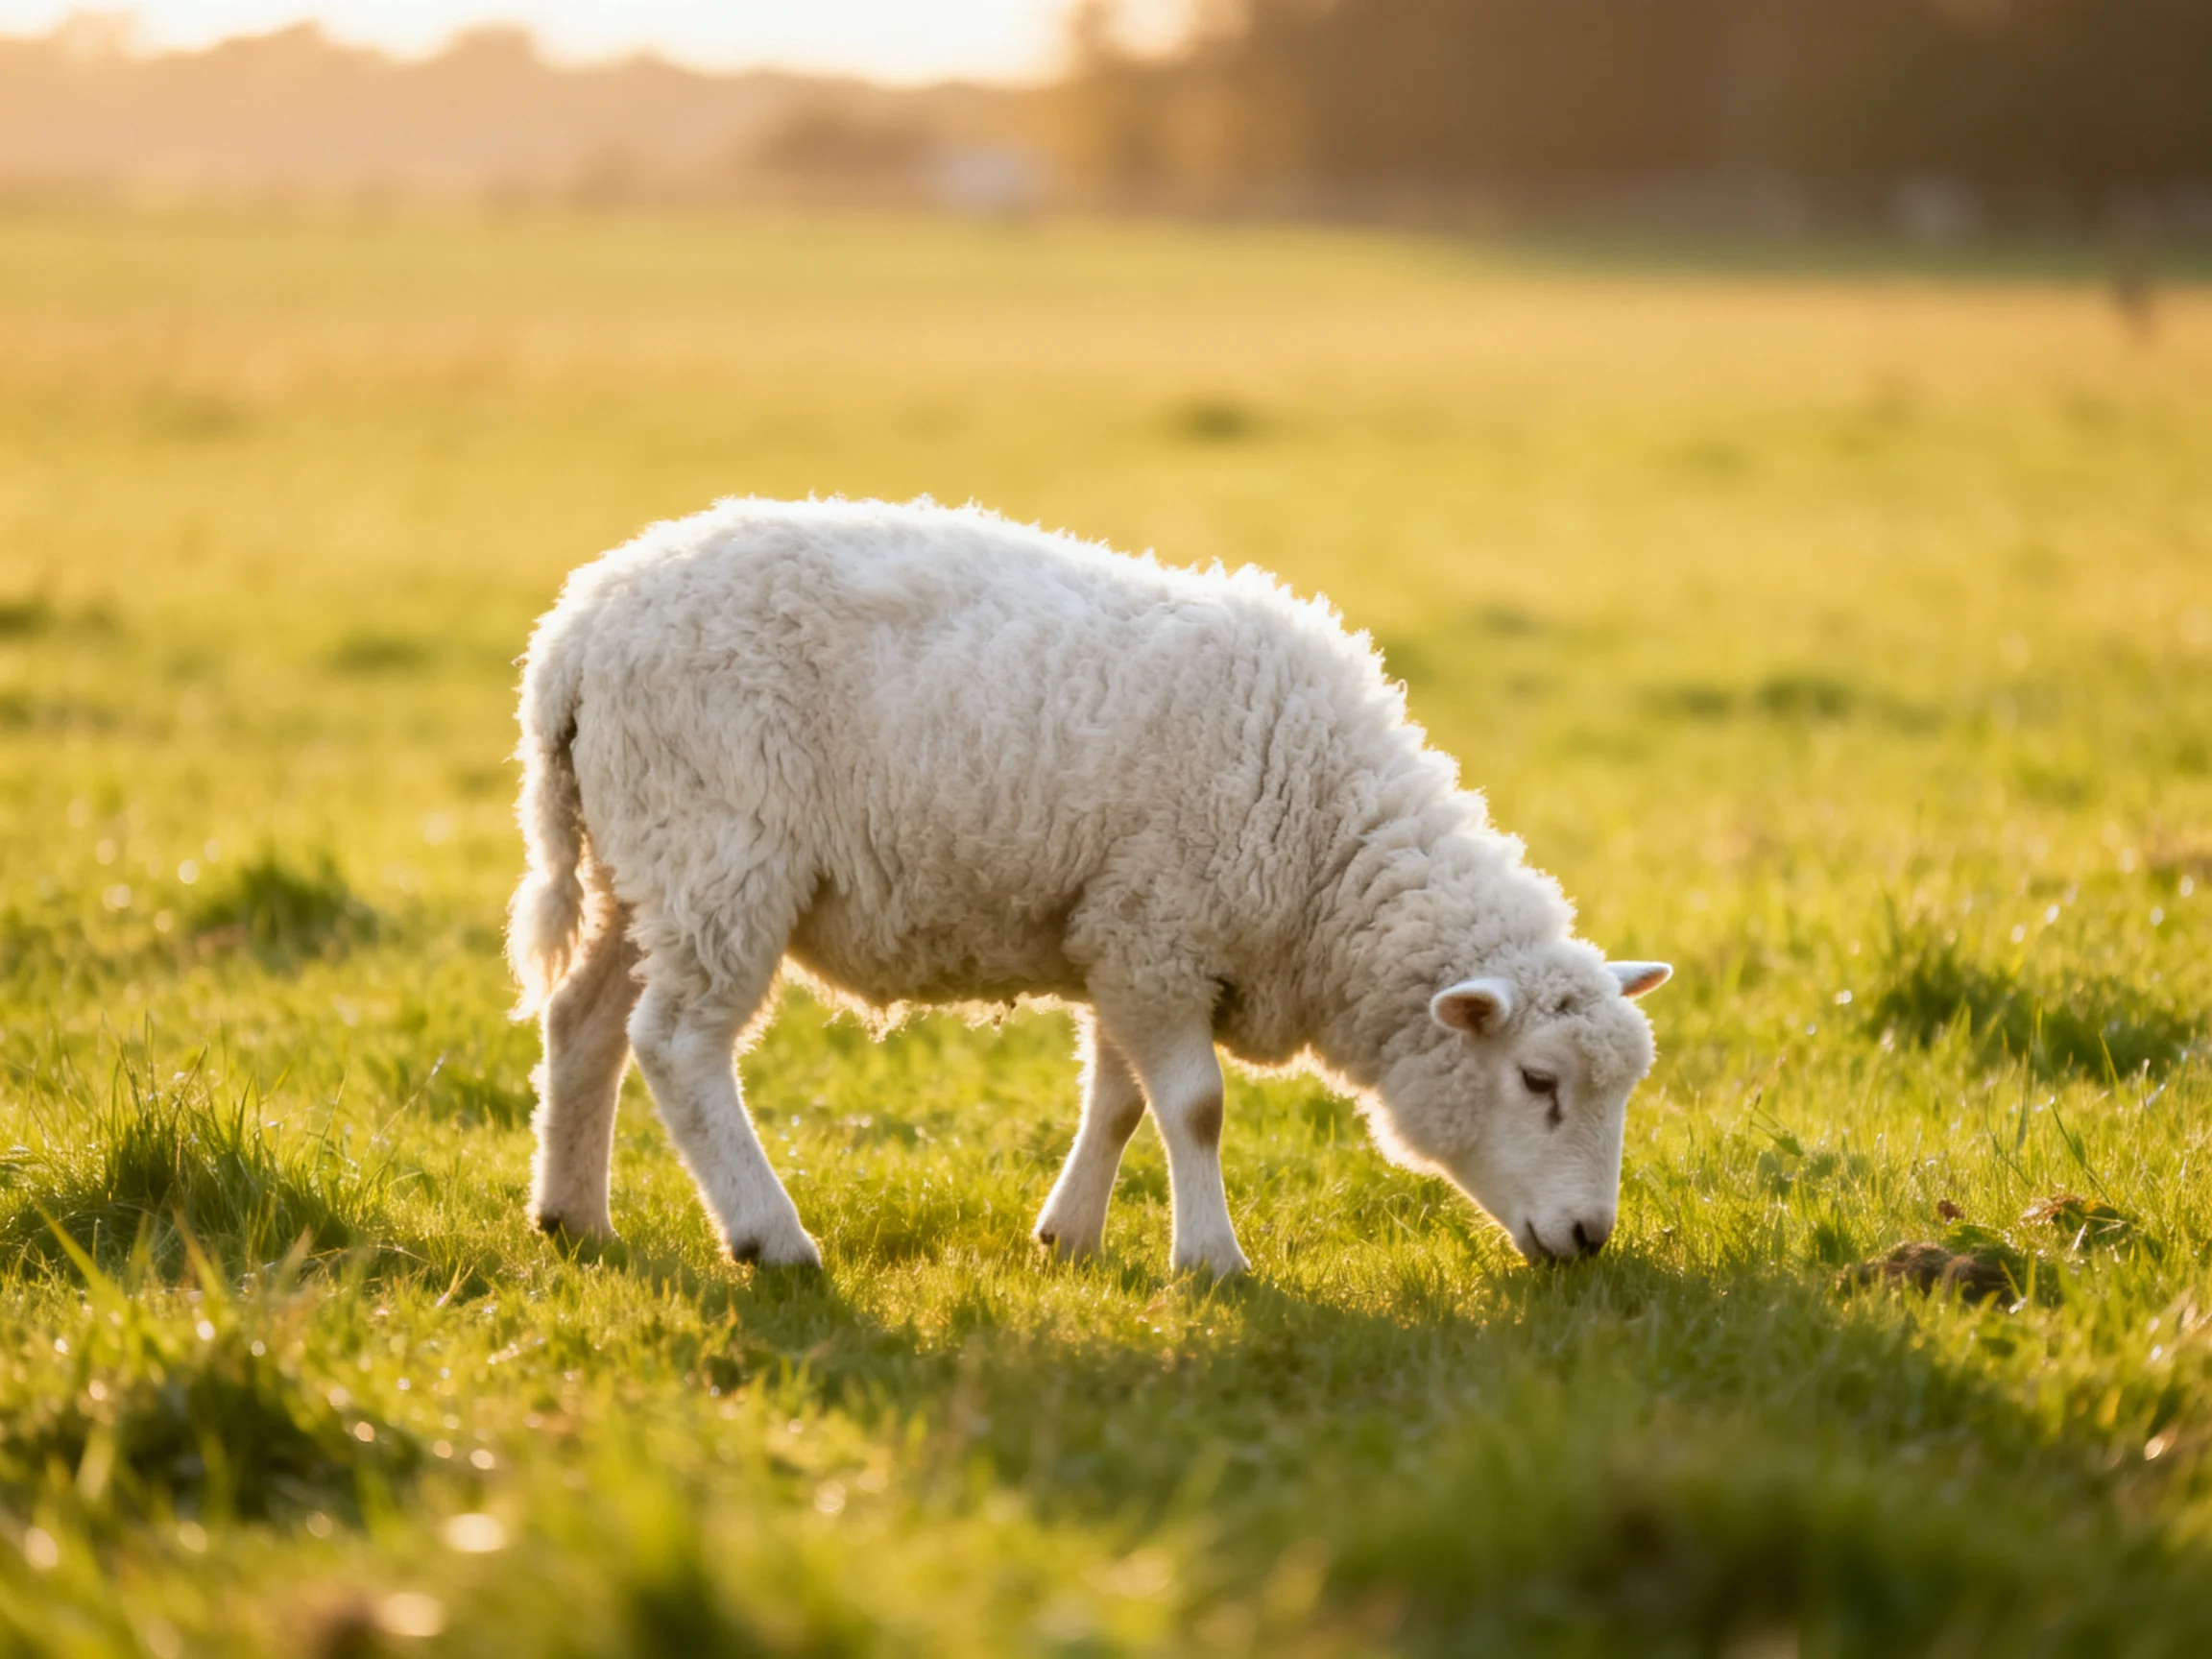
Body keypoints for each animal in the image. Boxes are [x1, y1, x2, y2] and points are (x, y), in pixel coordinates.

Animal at [507, 497, 1670, 1276]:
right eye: (1538, 1081)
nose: (1589, 1239)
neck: (1324, 844)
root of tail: (578, 626)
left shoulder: (1124, 938)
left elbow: (1118, 1099)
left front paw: (1069, 1235)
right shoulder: (1160, 933)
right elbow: (1194, 1106)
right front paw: (1212, 1263)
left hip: (641, 860)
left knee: (584, 1020)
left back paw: (573, 1217)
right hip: (720, 852)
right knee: (677, 1044)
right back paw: (770, 1235)